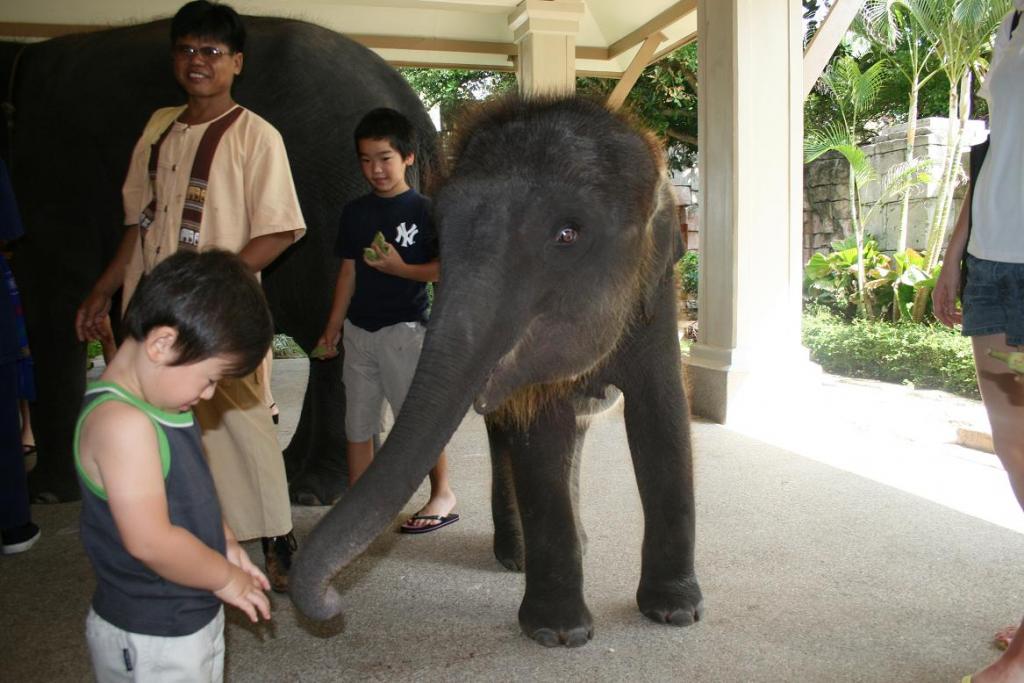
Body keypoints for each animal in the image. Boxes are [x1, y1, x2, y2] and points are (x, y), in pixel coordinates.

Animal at [0, 16, 437, 504]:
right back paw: (294, 472)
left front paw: (46, 494)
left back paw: (313, 489)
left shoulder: (54, 177)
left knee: (328, 327)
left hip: (331, 195)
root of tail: (411, 106)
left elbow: (47, 304)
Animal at [291, 96, 704, 647]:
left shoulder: (656, 301)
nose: (332, 601)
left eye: (568, 233)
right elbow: (539, 434)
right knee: (512, 438)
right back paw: (516, 558)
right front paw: (558, 634)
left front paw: (675, 612)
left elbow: (662, 418)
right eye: (438, 235)